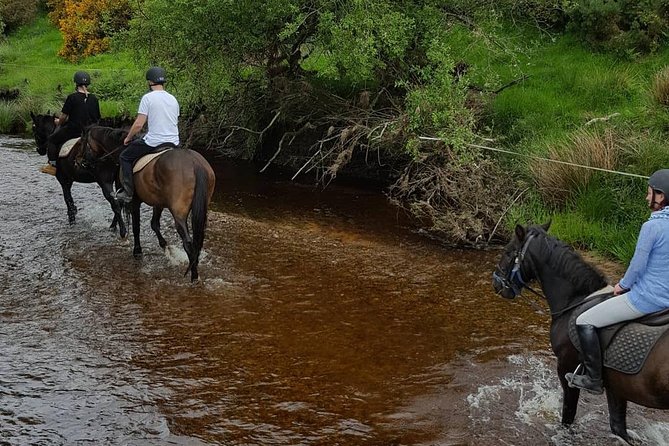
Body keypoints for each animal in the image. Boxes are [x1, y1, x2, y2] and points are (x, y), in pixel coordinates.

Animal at [81, 125, 216, 282]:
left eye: (83, 142)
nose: (81, 162)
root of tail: (194, 163)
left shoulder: (135, 201)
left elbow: (136, 227)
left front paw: (137, 251)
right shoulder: (159, 202)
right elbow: (154, 224)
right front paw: (166, 248)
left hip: (178, 213)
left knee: (188, 243)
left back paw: (194, 276)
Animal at [492, 222, 669, 443]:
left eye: (508, 252)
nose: (496, 283)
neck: (575, 300)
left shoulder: (565, 368)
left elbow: (568, 414)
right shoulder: (616, 387)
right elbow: (618, 428)